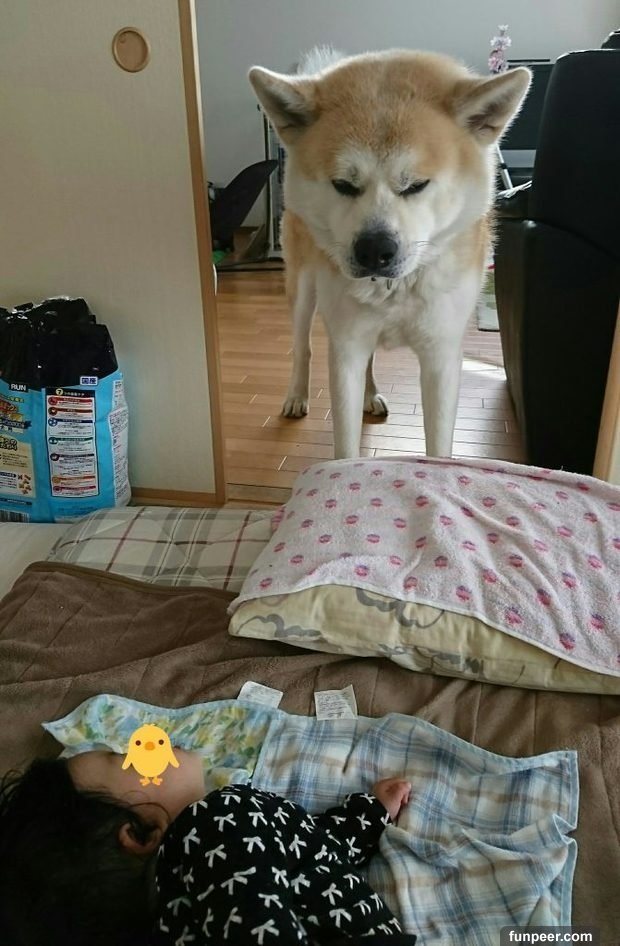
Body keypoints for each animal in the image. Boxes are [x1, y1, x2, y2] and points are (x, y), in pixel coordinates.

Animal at [249, 47, 530, 459]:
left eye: (416, 185)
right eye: (343, 185)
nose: (374, 251)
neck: (394, 290)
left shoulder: (441, 356)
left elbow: (439, 448)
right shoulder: (345, 349)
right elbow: (345, 447)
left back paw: (370, 395)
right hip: (302, 293)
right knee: (303, 349)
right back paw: (297, 396)